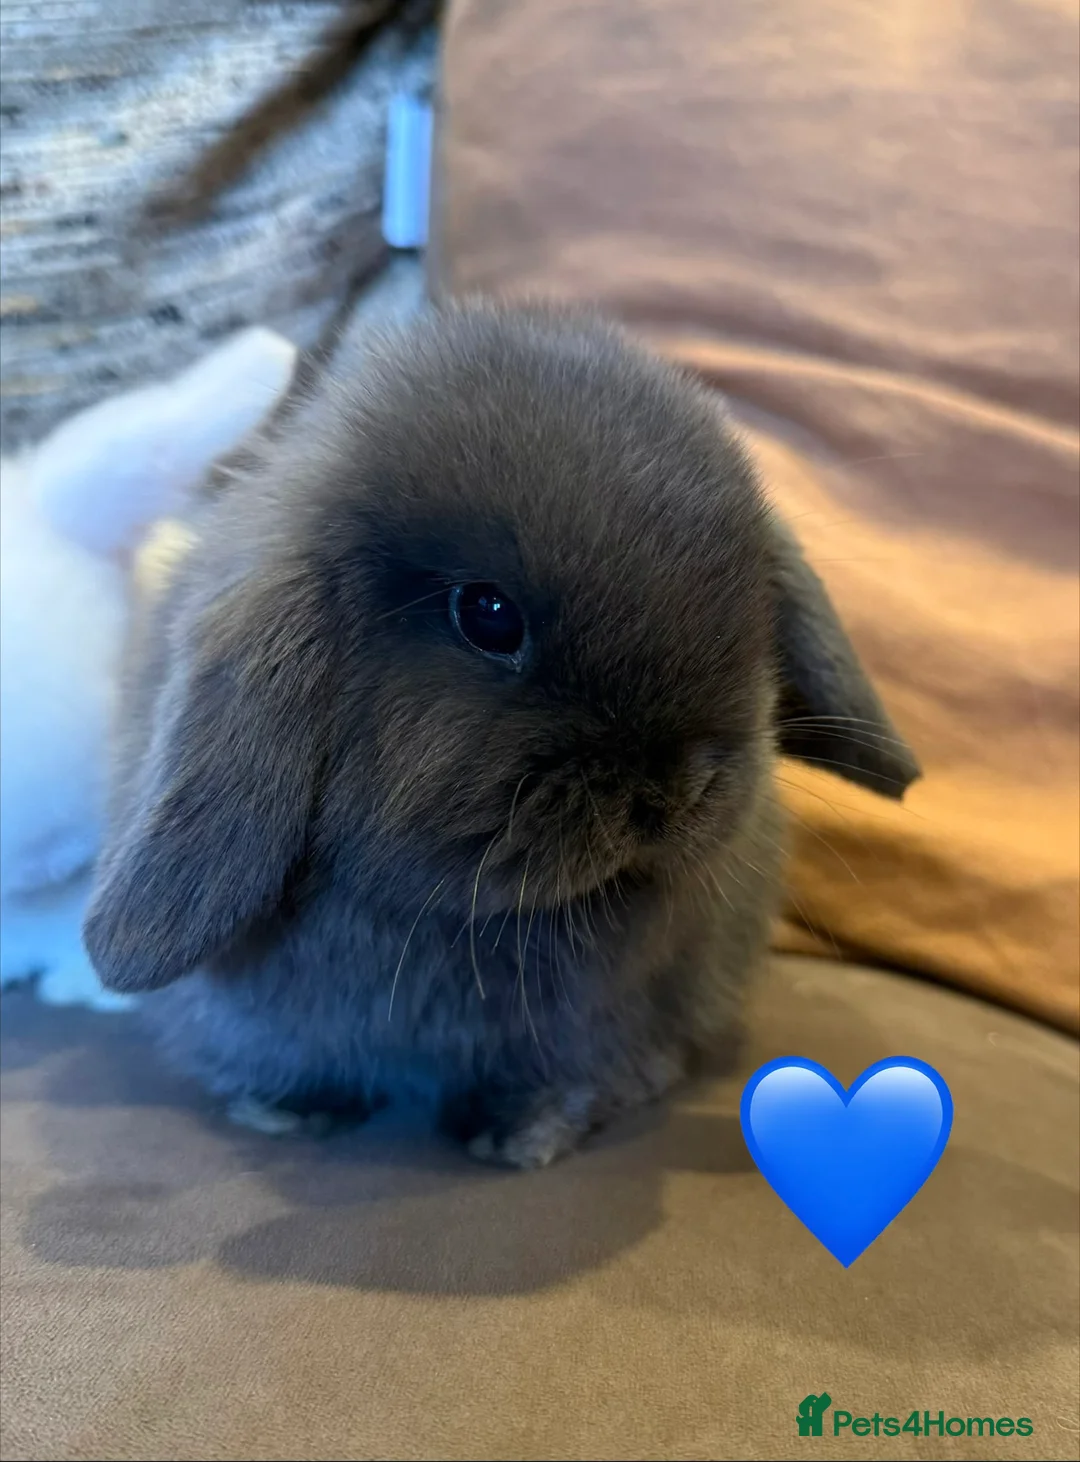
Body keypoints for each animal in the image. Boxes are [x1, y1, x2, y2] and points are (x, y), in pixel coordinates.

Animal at [82, 302, 919, 1168]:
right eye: (487, 616)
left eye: (754, 601)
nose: (670, 793)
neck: (466, 924)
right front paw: (287, 1111)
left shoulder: (590, 1029)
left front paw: (522, 1136)